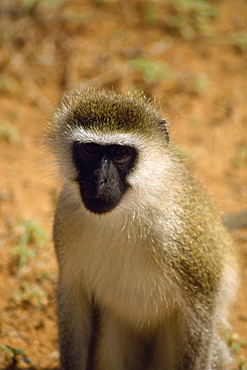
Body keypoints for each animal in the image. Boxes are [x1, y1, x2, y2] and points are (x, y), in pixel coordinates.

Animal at [47, 88, 238, 368]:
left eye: (119, 153)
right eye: (90, 149)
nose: (100, 181)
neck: (125, 211)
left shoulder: (178, 233)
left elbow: (202, 304)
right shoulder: (65, 216)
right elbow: (74, 298)